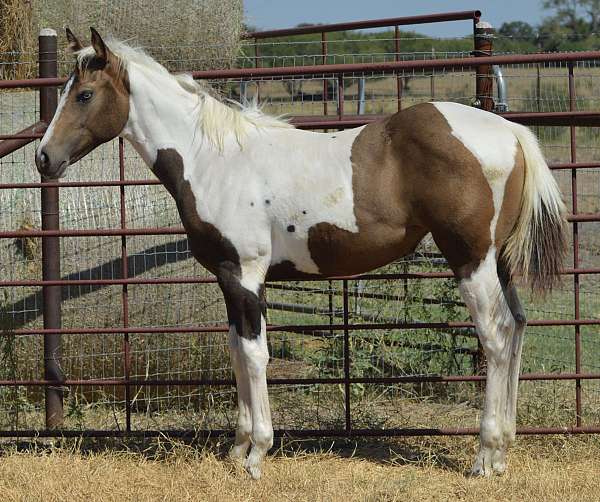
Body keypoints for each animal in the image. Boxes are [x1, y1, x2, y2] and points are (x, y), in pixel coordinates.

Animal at [36, 29, 568, 480]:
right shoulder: (228, 278)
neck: (214, 160)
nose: (43, 157)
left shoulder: (246, 274)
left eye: (84, 95)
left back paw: (484, 457)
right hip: (499, 264)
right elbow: (237, 352)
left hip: (471, 260)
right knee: (518, 327)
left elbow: (255, 356)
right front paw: (237, 449)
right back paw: (503, 453)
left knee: (495, 336)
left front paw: (256, 456)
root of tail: (510, 132)